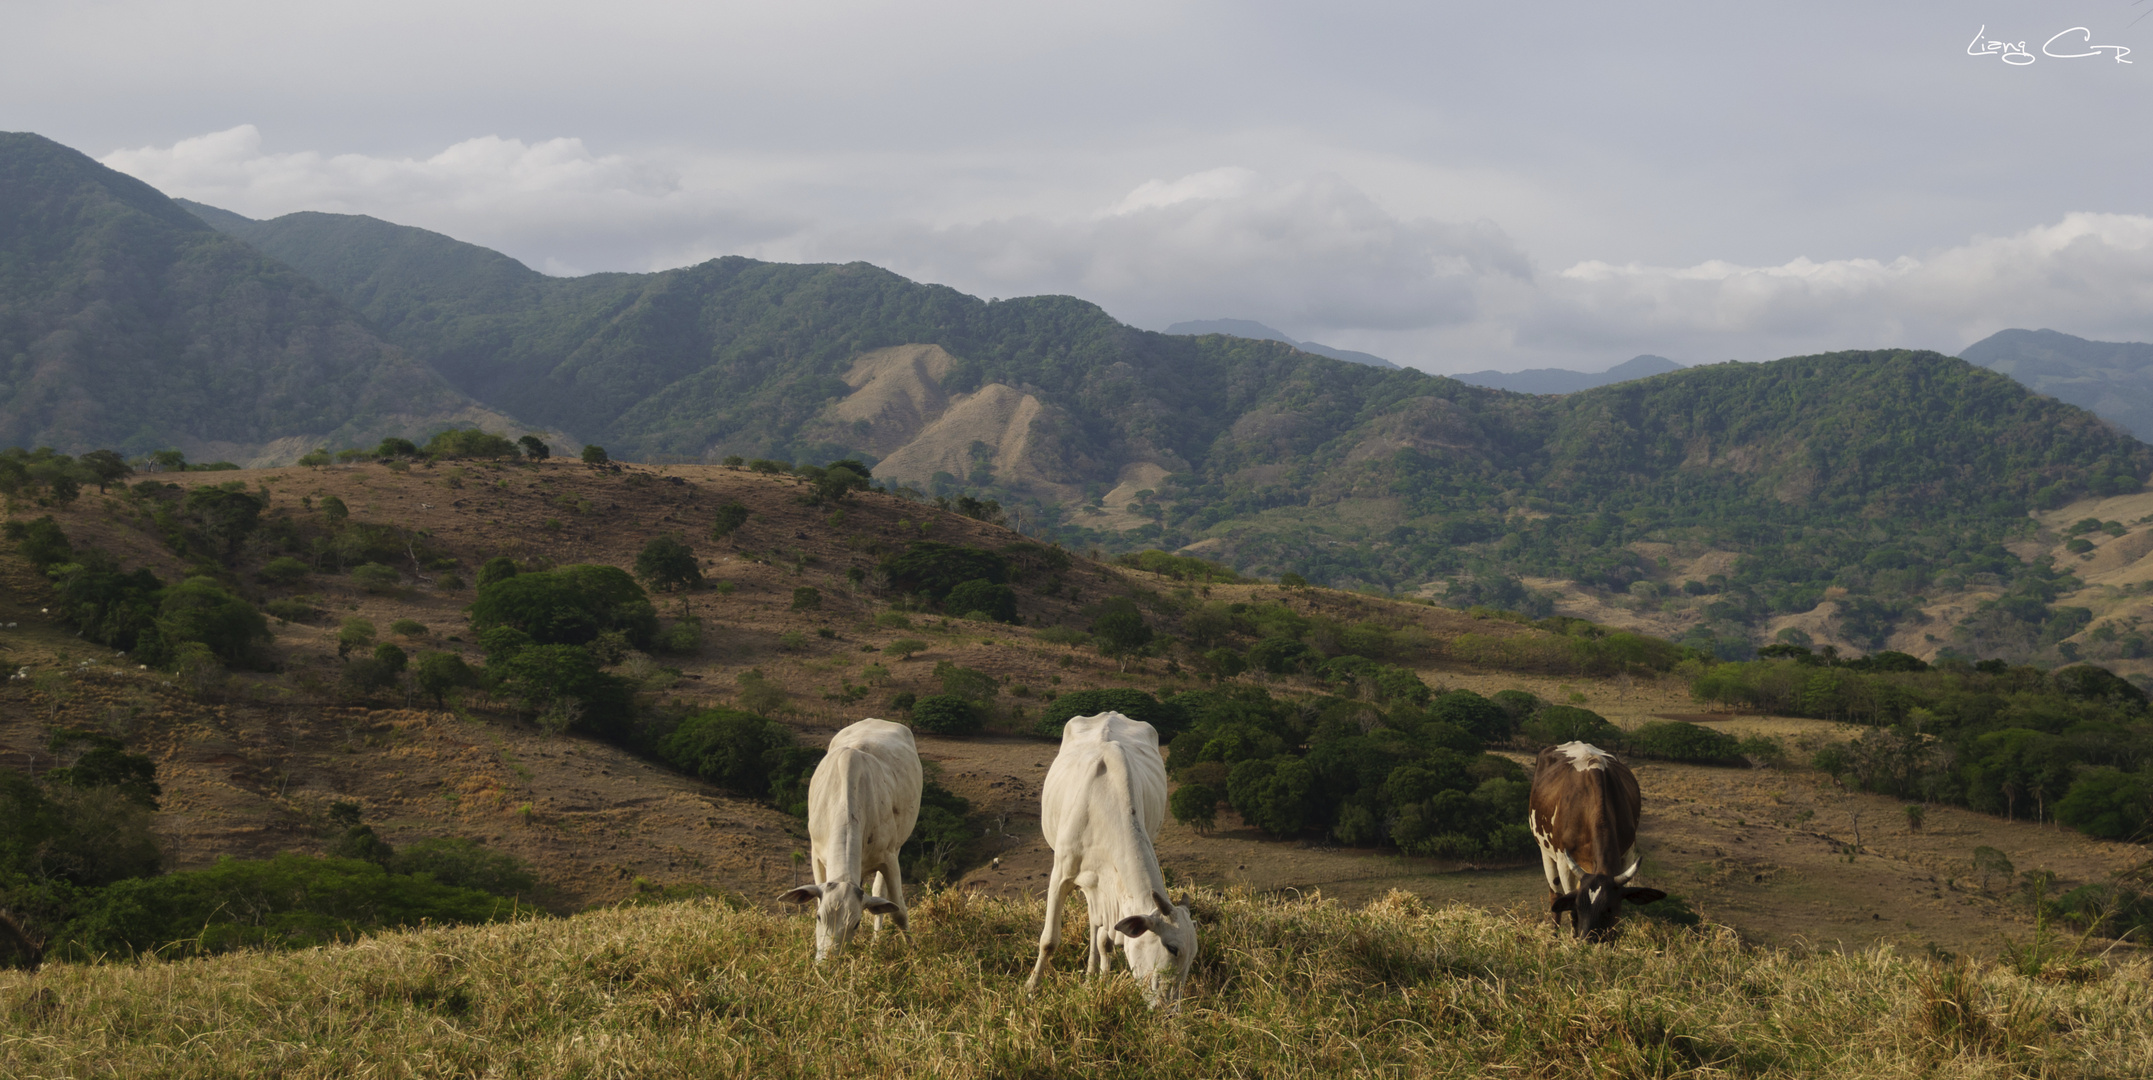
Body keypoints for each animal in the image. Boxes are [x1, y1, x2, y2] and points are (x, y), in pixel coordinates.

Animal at [775, 718, 917, 963]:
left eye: (856, 924)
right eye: (819, 917)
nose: (827, 964)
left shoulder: (889, 857)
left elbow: (898, 911)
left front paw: (914, 953)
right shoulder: (816, 854)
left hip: (897, 845)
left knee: (880, 893)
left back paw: (875, 943)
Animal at [1020, 714, 1197, 1006]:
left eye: (1193, 955)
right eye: (1172, 948)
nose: (1171, 1010)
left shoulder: (1108, 887)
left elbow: (1105, 941)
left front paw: (1100, 983)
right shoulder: (1061, 875)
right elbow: (1049, 940)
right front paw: (1031, 988)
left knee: (1096, 926)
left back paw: (1092, 972)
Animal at [1515, 744, 1662, 938]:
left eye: (1609, 909)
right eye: (1580, 906)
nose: (1590, 939)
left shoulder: (1628, 854)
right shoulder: (1563, 862)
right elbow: (1570, 907)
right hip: (1545, 852)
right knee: (1555, 896)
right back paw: (1554, 937)